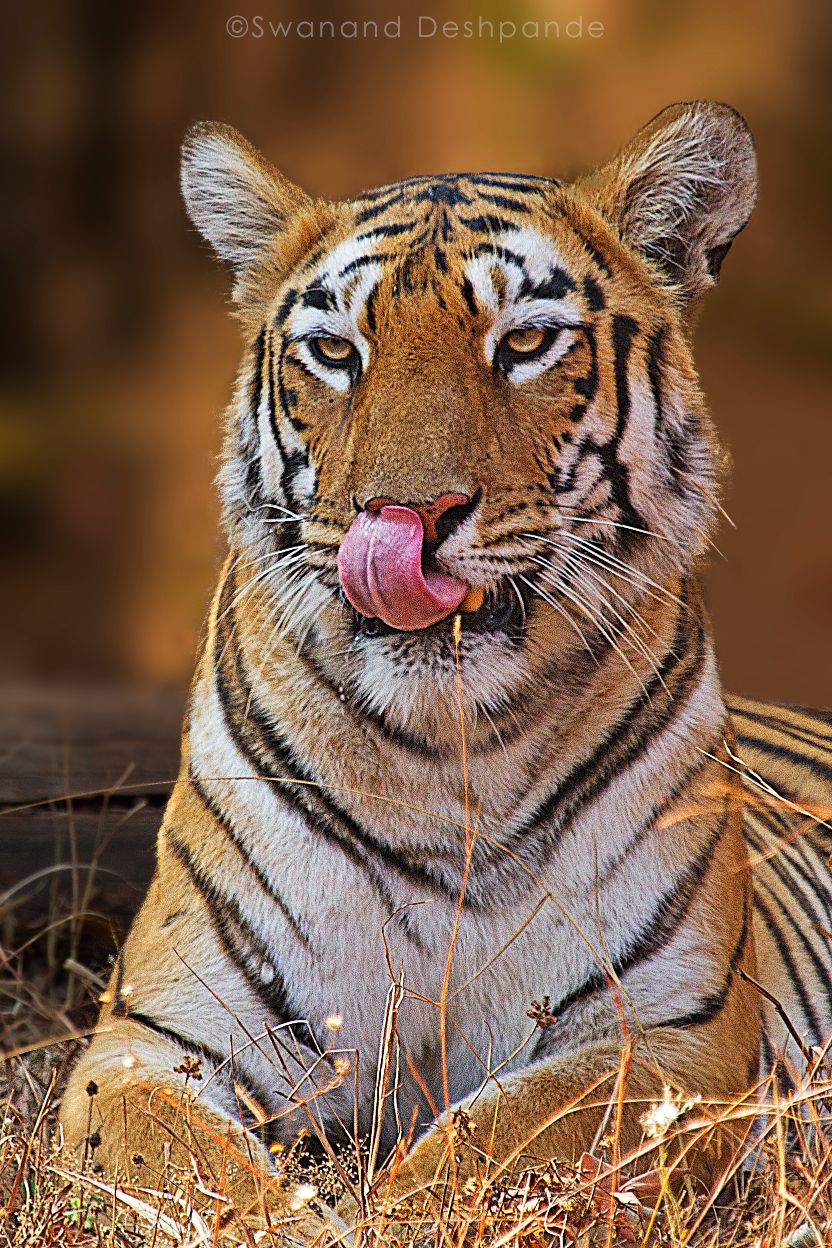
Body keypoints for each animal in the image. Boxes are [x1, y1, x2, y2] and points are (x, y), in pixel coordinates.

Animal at [60, 99, 832, 1228]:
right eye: (334, 351)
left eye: (525, 343)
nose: (405, 517)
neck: (446, 757)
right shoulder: (155, 1040)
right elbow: (195, 1172)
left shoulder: (666, 1037)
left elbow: (493, 1149)